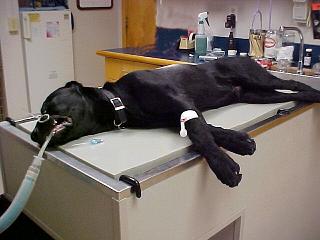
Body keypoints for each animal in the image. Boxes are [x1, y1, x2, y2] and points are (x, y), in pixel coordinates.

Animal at [31, 56, 320, 188]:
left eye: (45, 110)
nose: (34, 136)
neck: (120, 100)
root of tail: (245, 56)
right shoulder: (175, 115)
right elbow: (208, 129)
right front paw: (238, 141)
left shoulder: (181, 104)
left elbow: (199, 133)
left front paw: (224, 167)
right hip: (257, 95)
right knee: (290, 92)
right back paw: (310, 96)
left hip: (259, 80)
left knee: (293, 83)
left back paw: (314, 92)